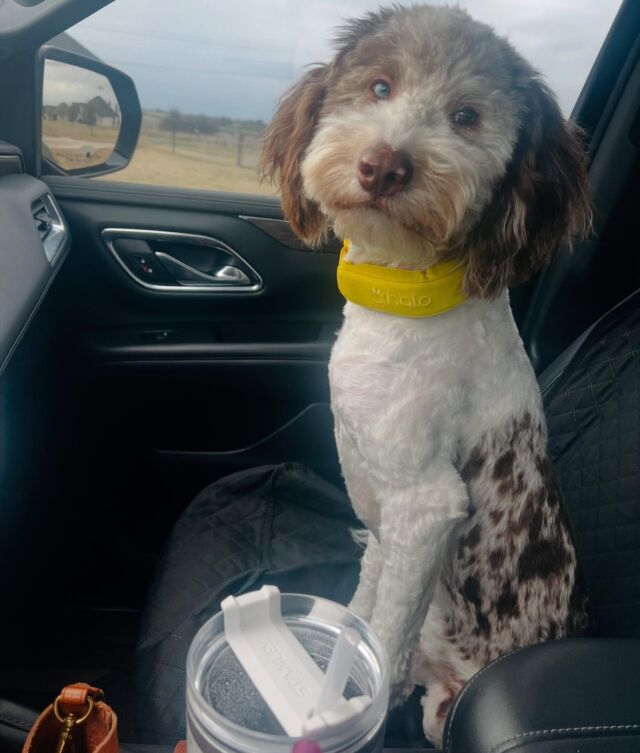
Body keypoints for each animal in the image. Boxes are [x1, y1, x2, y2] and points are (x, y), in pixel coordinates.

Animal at [258, 5, 592, 748]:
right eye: (380, 87)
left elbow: (382, 628)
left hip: (446, 714)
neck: (406, 296)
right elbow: (366, 601)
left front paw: (351, 706)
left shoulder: (424, 503)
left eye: (467, 116)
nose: (383, 165)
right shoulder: (386, 519)